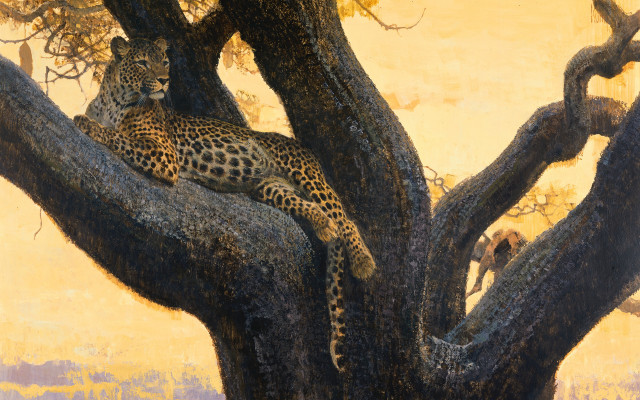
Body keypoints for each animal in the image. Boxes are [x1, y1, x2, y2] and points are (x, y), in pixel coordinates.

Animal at [73, 36, 376, 372]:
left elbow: (120, 138)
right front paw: (90, 121)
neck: (115, 99)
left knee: (344, 218)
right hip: (269, 187)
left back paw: (363, 262)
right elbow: (119, 135)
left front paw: (88, 125)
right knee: (319, 211)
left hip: (304, 172)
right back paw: (323, 226)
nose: (164, 80)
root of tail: (302, 148)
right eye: (141, 63)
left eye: (164, 62)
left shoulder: (164, 156)